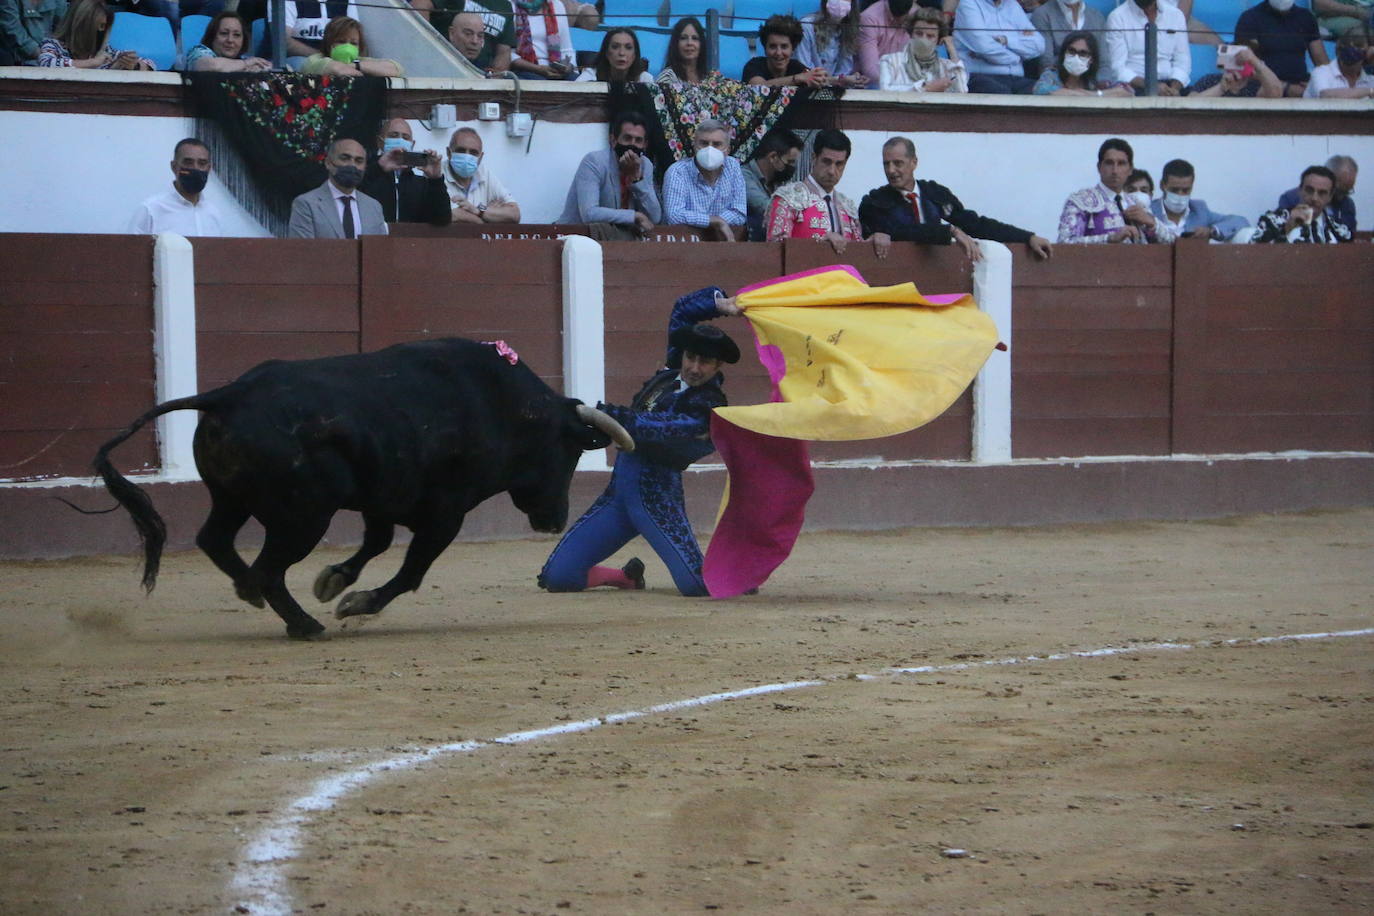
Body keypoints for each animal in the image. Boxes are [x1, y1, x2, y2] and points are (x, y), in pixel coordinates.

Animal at [91, 340, 632, 642]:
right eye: (569, 451)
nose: (554, 520)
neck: (500, 405)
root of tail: (229, 394)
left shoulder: (385, 496)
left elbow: (376, 542)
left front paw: (334, 581)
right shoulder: (446, 513)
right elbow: (412, 570)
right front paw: (357, 603)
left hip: (234, 499)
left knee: (216, 540)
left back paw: (255, 594)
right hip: (304, 516)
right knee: (268, 569)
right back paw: (302, 624)